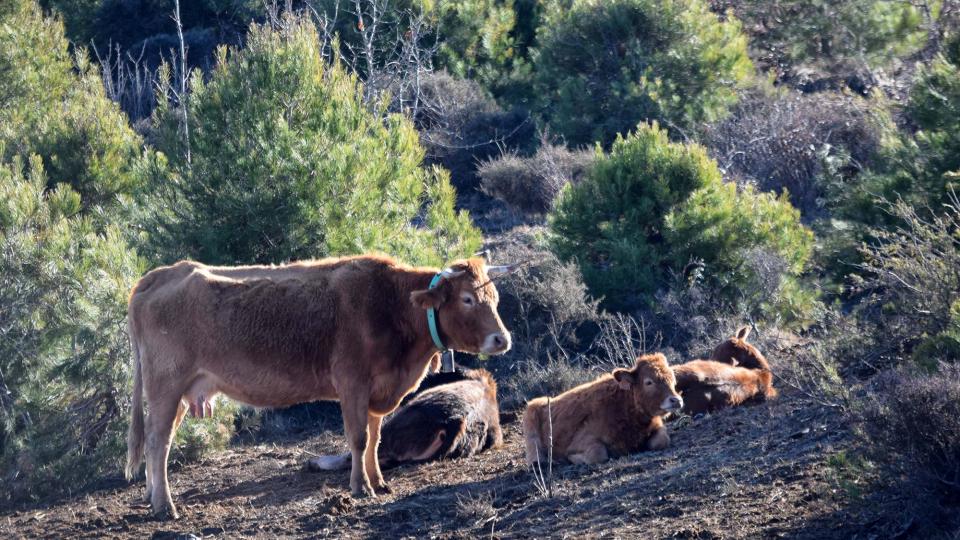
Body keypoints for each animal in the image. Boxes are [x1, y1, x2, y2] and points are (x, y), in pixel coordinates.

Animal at [524, 352, 684, 466]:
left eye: (672, 379)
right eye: (649, 382)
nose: (676, 400)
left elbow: (662, 440)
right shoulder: (582, 440)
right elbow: (598, 454)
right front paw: (573, 458)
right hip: (531, 419)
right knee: (535, 457)